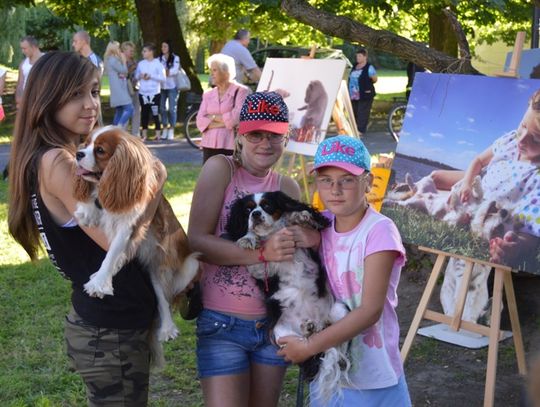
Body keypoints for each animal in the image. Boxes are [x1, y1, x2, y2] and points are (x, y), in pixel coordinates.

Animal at [72, 126, 198, 366]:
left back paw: (167, 328)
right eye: (85, 143)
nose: (78, 153)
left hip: (185, 266)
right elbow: (94, 202)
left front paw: (99, 282)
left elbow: (111, 254)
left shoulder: (130, 225)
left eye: (100, 150)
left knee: (165, 299)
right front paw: (86, 211)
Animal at [225, 191, 348, 402]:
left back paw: (317, 328)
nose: (256, 214)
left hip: (340, 310)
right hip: (281, 334)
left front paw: (300, 216)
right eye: (248, 210)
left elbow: (300, 219)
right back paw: (308, 328)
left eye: (267, 205)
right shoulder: (261, 270)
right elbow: (256, 254)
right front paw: (248, 238)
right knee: (306, 341)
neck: (272, 233)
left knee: (338, 338)